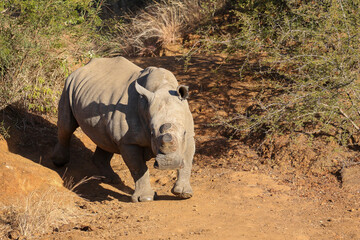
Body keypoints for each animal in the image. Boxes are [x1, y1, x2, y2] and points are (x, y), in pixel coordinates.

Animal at [51, 57, 194, 202]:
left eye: (184, 133)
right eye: (152, 133)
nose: (169, 163)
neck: (163, 87)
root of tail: (83, 67)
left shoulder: (189, 135)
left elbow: (187, 160)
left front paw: (184, 193)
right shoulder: (128, 141)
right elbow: (138, 167)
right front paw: (145, 198)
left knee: (105, 140)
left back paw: (113, 180)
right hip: (68, 85)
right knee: (66, 126)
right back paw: (59, 162)